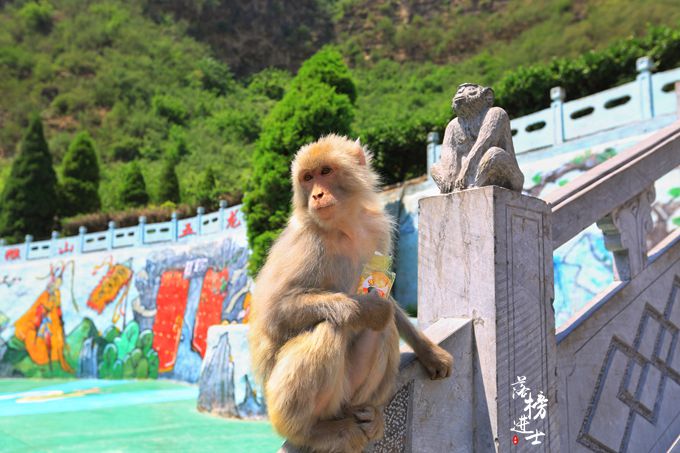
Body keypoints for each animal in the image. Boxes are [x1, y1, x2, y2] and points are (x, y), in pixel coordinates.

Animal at [248, 135, 452, 452]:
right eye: (307, 178)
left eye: (325, 171)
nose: (317, 195)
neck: (344, 227)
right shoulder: (306, 244)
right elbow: (275, 312)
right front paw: (367, 308)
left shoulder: (376, 231)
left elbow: (390, 302)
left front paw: (429, 353)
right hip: (289, 401)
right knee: (329, 327)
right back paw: (312, 432)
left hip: (350, 392)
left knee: (385, 330)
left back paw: (369, 413)